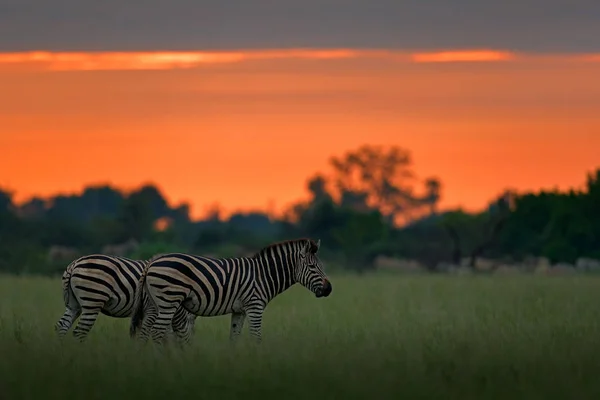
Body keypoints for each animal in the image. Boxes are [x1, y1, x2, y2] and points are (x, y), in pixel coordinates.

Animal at [55, 255, 198, 342]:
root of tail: (74, 264)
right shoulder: (152, 309)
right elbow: (148, 334)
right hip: (93, 300)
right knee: (80, 332)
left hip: (74, 305)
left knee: (61, 326)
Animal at [131, 238, 332, 344]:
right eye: (313, 267)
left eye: (322, 266)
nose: (329, 289)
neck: (263, 274)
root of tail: (152, 262)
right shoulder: (255, 307)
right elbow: (256, 337)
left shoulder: (239, 310)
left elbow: (234, 338)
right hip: (168, 301)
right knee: (157, 332)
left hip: (154, 303)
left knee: (147, 331)